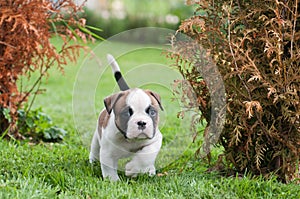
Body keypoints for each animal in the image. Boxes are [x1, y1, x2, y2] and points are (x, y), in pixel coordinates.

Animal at [89, 53, 164, 181]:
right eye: (126, 113)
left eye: (152, 112)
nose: (141, 122)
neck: (129, 139)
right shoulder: (107, 153)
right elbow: (109, 169)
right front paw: (114, 181)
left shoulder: (155, 139)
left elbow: (147, 154)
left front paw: (134, 168)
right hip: (96, 139)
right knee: (94, 148)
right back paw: (92, 161)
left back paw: (150, 170)